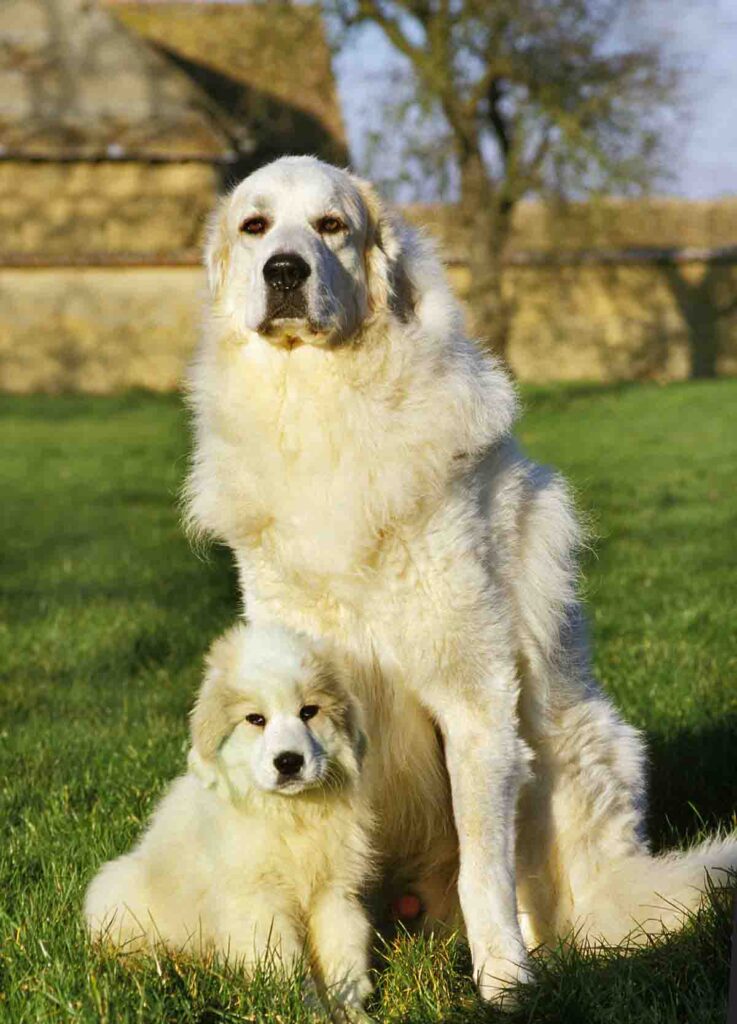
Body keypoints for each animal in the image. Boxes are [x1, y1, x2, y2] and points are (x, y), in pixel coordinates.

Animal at [86, 622, 374, 1015]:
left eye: (309, 711)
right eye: (256, 720)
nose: (289, 762)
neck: (289, 815)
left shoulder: (333, 893)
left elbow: (341, 959)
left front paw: (350, 1012)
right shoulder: (259, 902)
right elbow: (286, 966)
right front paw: (306, 1011)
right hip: (117, 890)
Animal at [185, 157, 737, 999]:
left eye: (330, 226)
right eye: (255, 225)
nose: (284, 271)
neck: (322, 409)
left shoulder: (471, 698)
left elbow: (485, 867)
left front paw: (504, 983)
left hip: (563, 763)